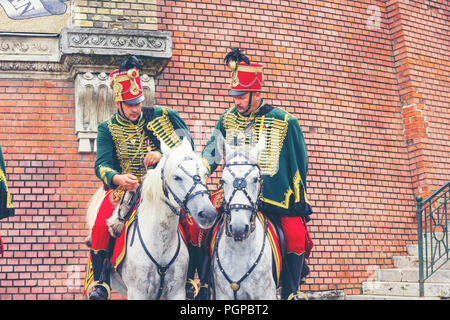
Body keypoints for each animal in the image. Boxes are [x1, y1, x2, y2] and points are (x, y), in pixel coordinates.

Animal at [85, 138, 218, 300]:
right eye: (177, 177)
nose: (208, 214)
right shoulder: (138, 292)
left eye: (205, 173)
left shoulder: (176, 291)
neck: (161, 245)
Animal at [211, 138, 278, 300]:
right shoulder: (223, 294)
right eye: (223, 181)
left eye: (255, 179)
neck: (239, 251)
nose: (238, 228)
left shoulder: (266, 294)